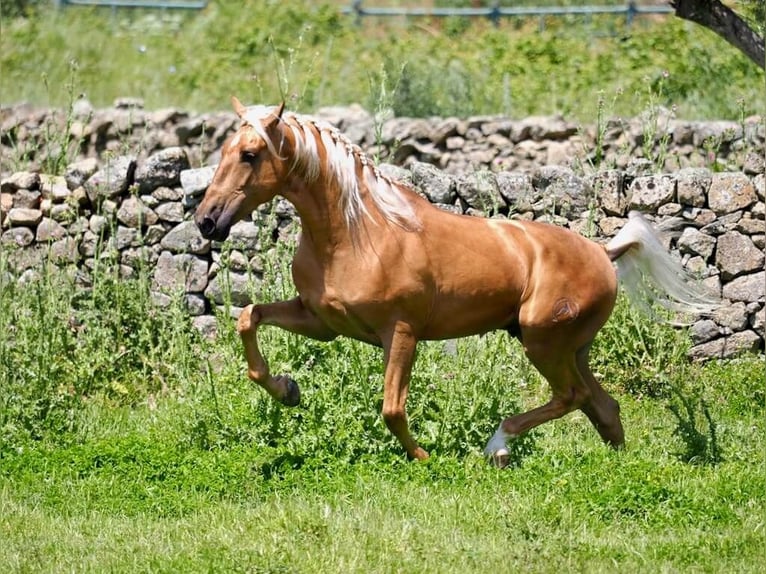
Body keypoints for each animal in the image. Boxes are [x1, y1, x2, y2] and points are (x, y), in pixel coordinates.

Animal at [195, 98, 716, 466]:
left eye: (250, 154)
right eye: (223, 152)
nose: (206, 221)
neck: (359, 232)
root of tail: (603, 253)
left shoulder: (401, 333)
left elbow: (392, 408)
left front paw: (424, 457)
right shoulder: (321, 322)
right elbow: (248, 318)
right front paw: (288, 390)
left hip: (543, 341)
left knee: (572, 396)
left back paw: (497, 447)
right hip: (569, 347)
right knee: (602, 405)